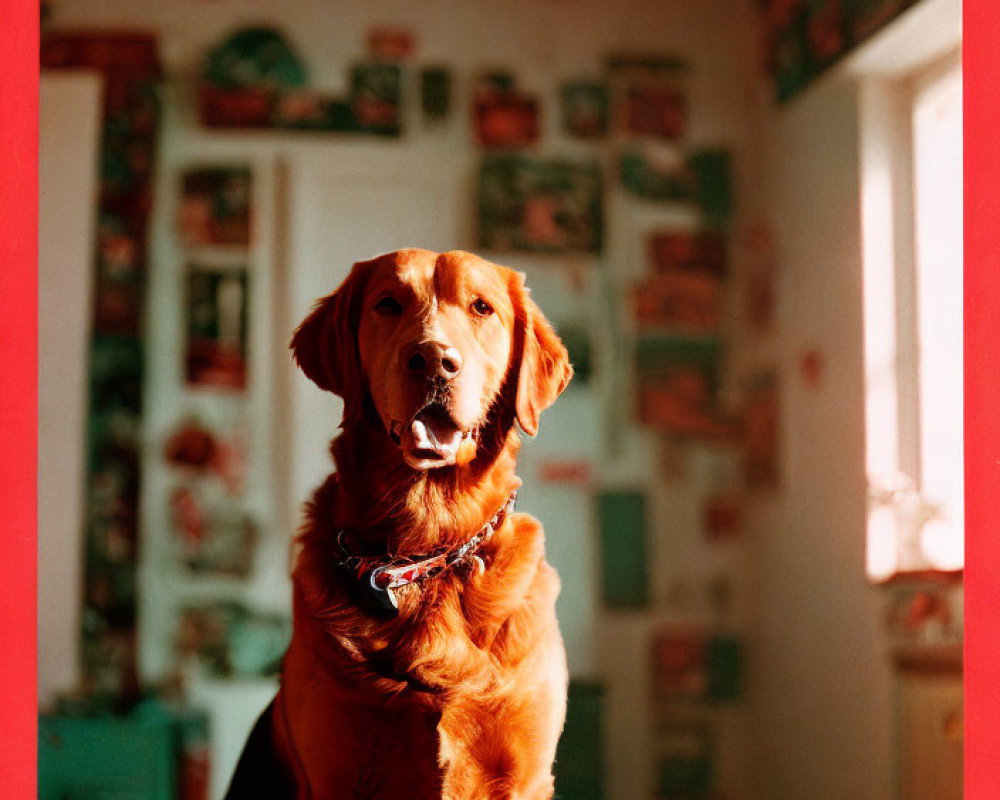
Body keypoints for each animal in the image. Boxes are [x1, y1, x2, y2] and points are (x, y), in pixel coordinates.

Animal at [224, 247, 576, 796]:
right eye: (387, 303)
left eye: (481, 307)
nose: (434, 360)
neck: (425, 552)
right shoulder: (338, 772)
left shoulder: (524, 776)